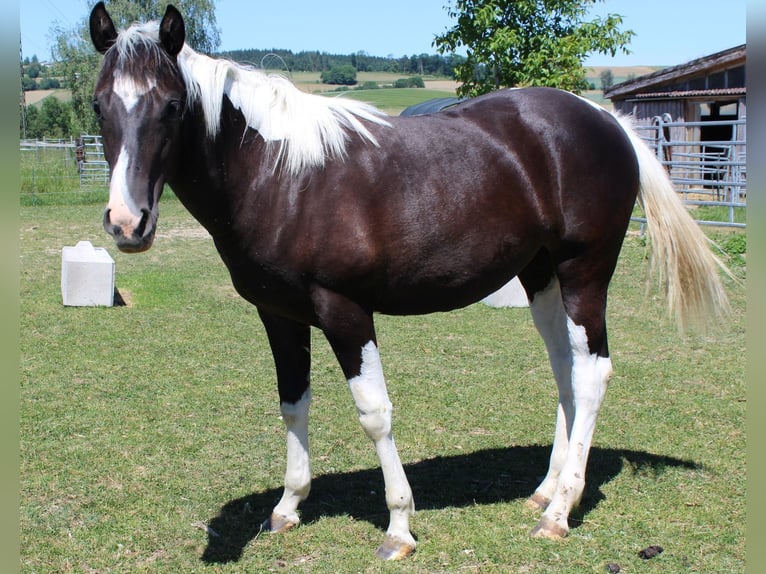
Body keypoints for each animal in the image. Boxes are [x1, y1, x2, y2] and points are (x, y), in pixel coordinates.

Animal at [88, 2, 730, 560]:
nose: (126, 223)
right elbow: (293, 404)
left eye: (173, 104)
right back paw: (545, 491)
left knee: (592, 373)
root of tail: (603, 117)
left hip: (584, 273)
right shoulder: (280, 314)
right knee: (566, 370)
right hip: (542, 277)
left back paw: (560, 512)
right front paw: (288, 507)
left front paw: (399, 526)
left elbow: (374, 412)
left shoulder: (344, 310)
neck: (281, 177)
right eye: (98, 106)